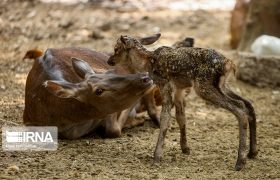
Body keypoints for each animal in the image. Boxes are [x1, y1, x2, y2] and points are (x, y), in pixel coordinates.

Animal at [107, 33, 258, 170]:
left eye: (116, 48)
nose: (109, 61)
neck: (148, 63)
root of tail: (230, 64)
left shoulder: (166, 84)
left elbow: (165, 118)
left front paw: (156, 157)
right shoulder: (179, 88)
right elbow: (181, 117)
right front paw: (185, 148)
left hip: (204, 86)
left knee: (240, 108)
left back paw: (240, 162)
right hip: (223, 85)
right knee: (248, 104)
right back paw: (252, 153)